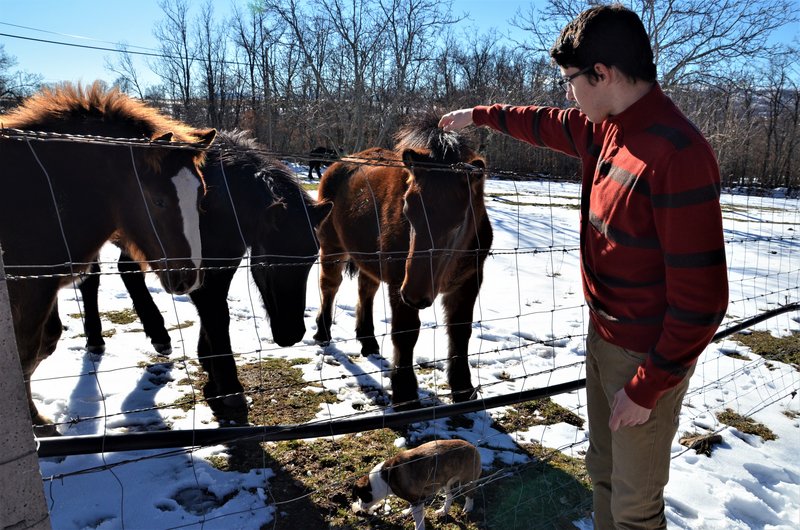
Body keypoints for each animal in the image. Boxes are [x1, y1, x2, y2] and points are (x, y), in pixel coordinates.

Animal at [0, 80, 216, 432]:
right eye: (157, 200)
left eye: (201, 196)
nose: (188, 278)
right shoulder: (30, 287)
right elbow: (26, 352)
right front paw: (36, 421)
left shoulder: (42, 285)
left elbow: (44, 343)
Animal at [80, 129, 332, 420]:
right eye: (270, 261)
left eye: (312, 257)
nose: (291, 334)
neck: (217, 204)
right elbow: (217, 314)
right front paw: (230, 387)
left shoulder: (221, 264)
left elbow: (214, 310)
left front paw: (208, 363)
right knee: (91, 279)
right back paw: (96, 340)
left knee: (127, 271)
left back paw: (160, 337)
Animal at [314, 111, 494, 408]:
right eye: (408, 209)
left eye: (459, 222)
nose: (416, 295)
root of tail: (339, 164)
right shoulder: (400, 279)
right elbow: (406, 333)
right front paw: (406, 392)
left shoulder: (469, 281)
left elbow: (460, 331)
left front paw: (463, 388)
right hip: (332, 248)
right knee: (329, 287)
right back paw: (323, 333)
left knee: (366, 290)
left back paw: (368, 341)